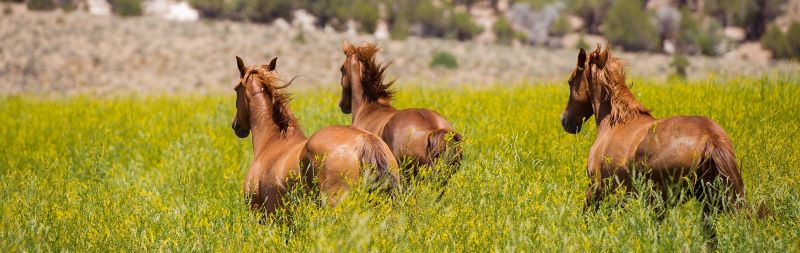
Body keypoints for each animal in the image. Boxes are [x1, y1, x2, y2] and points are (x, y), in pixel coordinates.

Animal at [560, 44, 748, 230]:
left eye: (570, 81)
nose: (565, 120)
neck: (614, 122)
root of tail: (709, 136)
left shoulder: (595, 188)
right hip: (707, 201)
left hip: (660, 201)